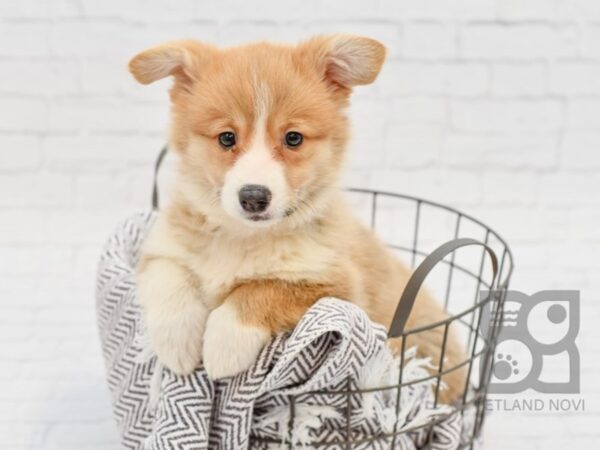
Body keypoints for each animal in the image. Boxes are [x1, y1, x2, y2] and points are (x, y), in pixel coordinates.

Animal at [131, 34, 466, 400]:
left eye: (293, 138)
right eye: (226, 137)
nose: (253, 197)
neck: (244, 238)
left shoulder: (338, 289)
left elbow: (261, 290)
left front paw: (223, 347)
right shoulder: (162, 248)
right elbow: (167, 277)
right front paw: (176, 345)